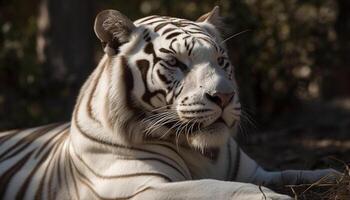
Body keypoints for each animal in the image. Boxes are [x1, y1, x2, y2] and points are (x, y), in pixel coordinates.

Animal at [0, 6, 340, 200]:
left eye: (221, 61)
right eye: (175, 63)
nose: (224, 96)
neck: (202, 152)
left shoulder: (256, 172)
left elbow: (293, 173)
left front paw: (335, 175)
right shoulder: (143, 186)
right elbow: (227, 190)